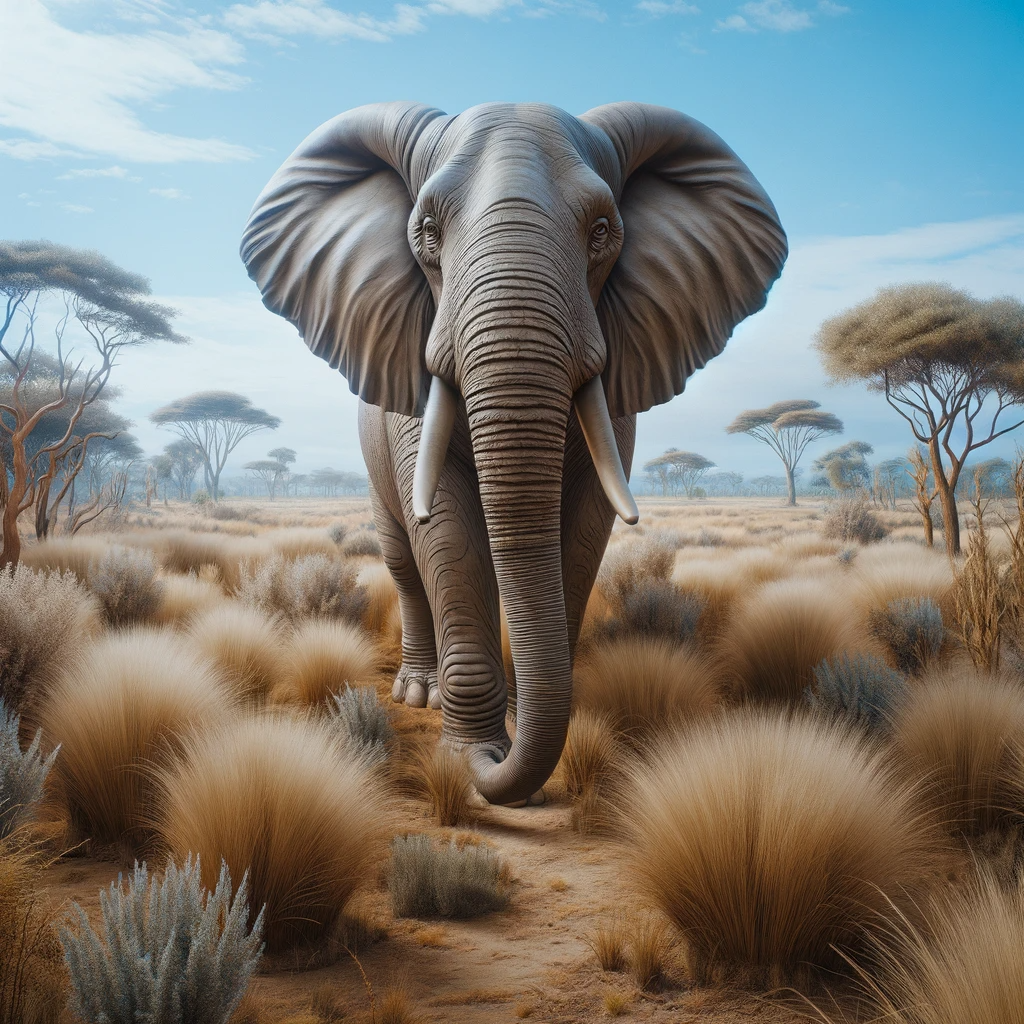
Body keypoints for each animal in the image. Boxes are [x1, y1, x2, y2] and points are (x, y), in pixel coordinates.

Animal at [240, 101, 787, 806]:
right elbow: (446, 530)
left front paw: (517, 730)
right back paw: (419, 694)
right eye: (427, 232)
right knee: (403, 561)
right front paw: (470, 753)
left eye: (602, 232)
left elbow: (583, 527)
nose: (495, 765)